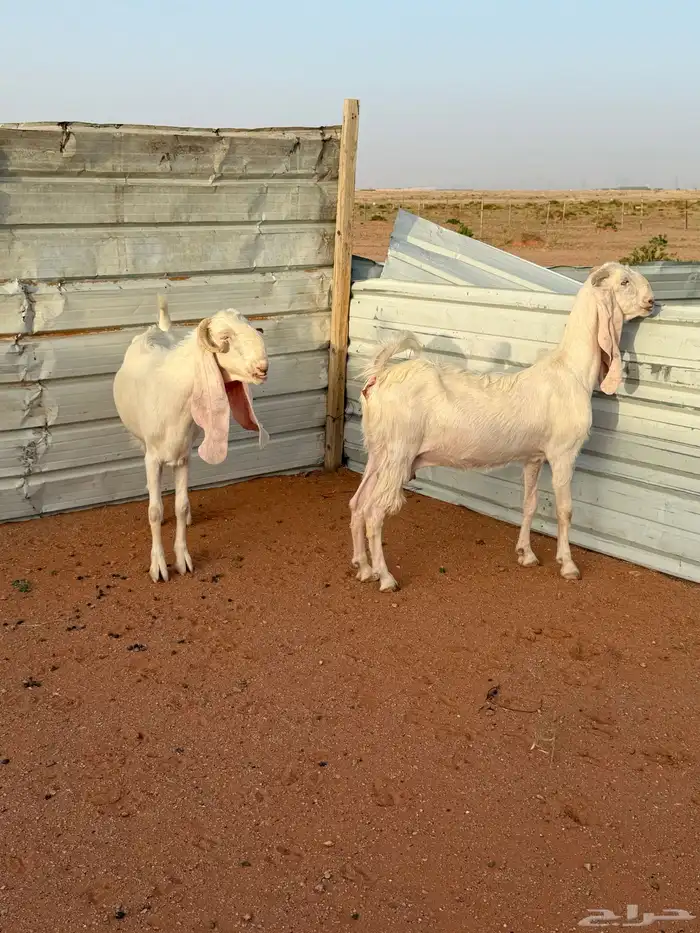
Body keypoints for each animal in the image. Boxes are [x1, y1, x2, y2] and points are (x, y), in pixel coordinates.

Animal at [113, 296, 269, 582]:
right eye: (225, 336)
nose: (262, 368)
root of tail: (159, 328)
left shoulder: (184, 457)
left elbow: (181, 505)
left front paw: (183, 559)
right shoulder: (153, 457)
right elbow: (154, 512)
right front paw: (159, 566)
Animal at [350, 261, 655, 591]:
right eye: (624, 282)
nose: (651, 301)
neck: (570, 371)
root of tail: (379, 375)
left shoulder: (534, 457)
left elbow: (530, 502)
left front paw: (526, 554)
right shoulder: (563, 453)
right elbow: (565, 509)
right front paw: (568, 565)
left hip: (378, 452)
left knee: (358, 504)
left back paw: (363, 568)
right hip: (398, 453)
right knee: (375, 511)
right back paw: (385, 577)